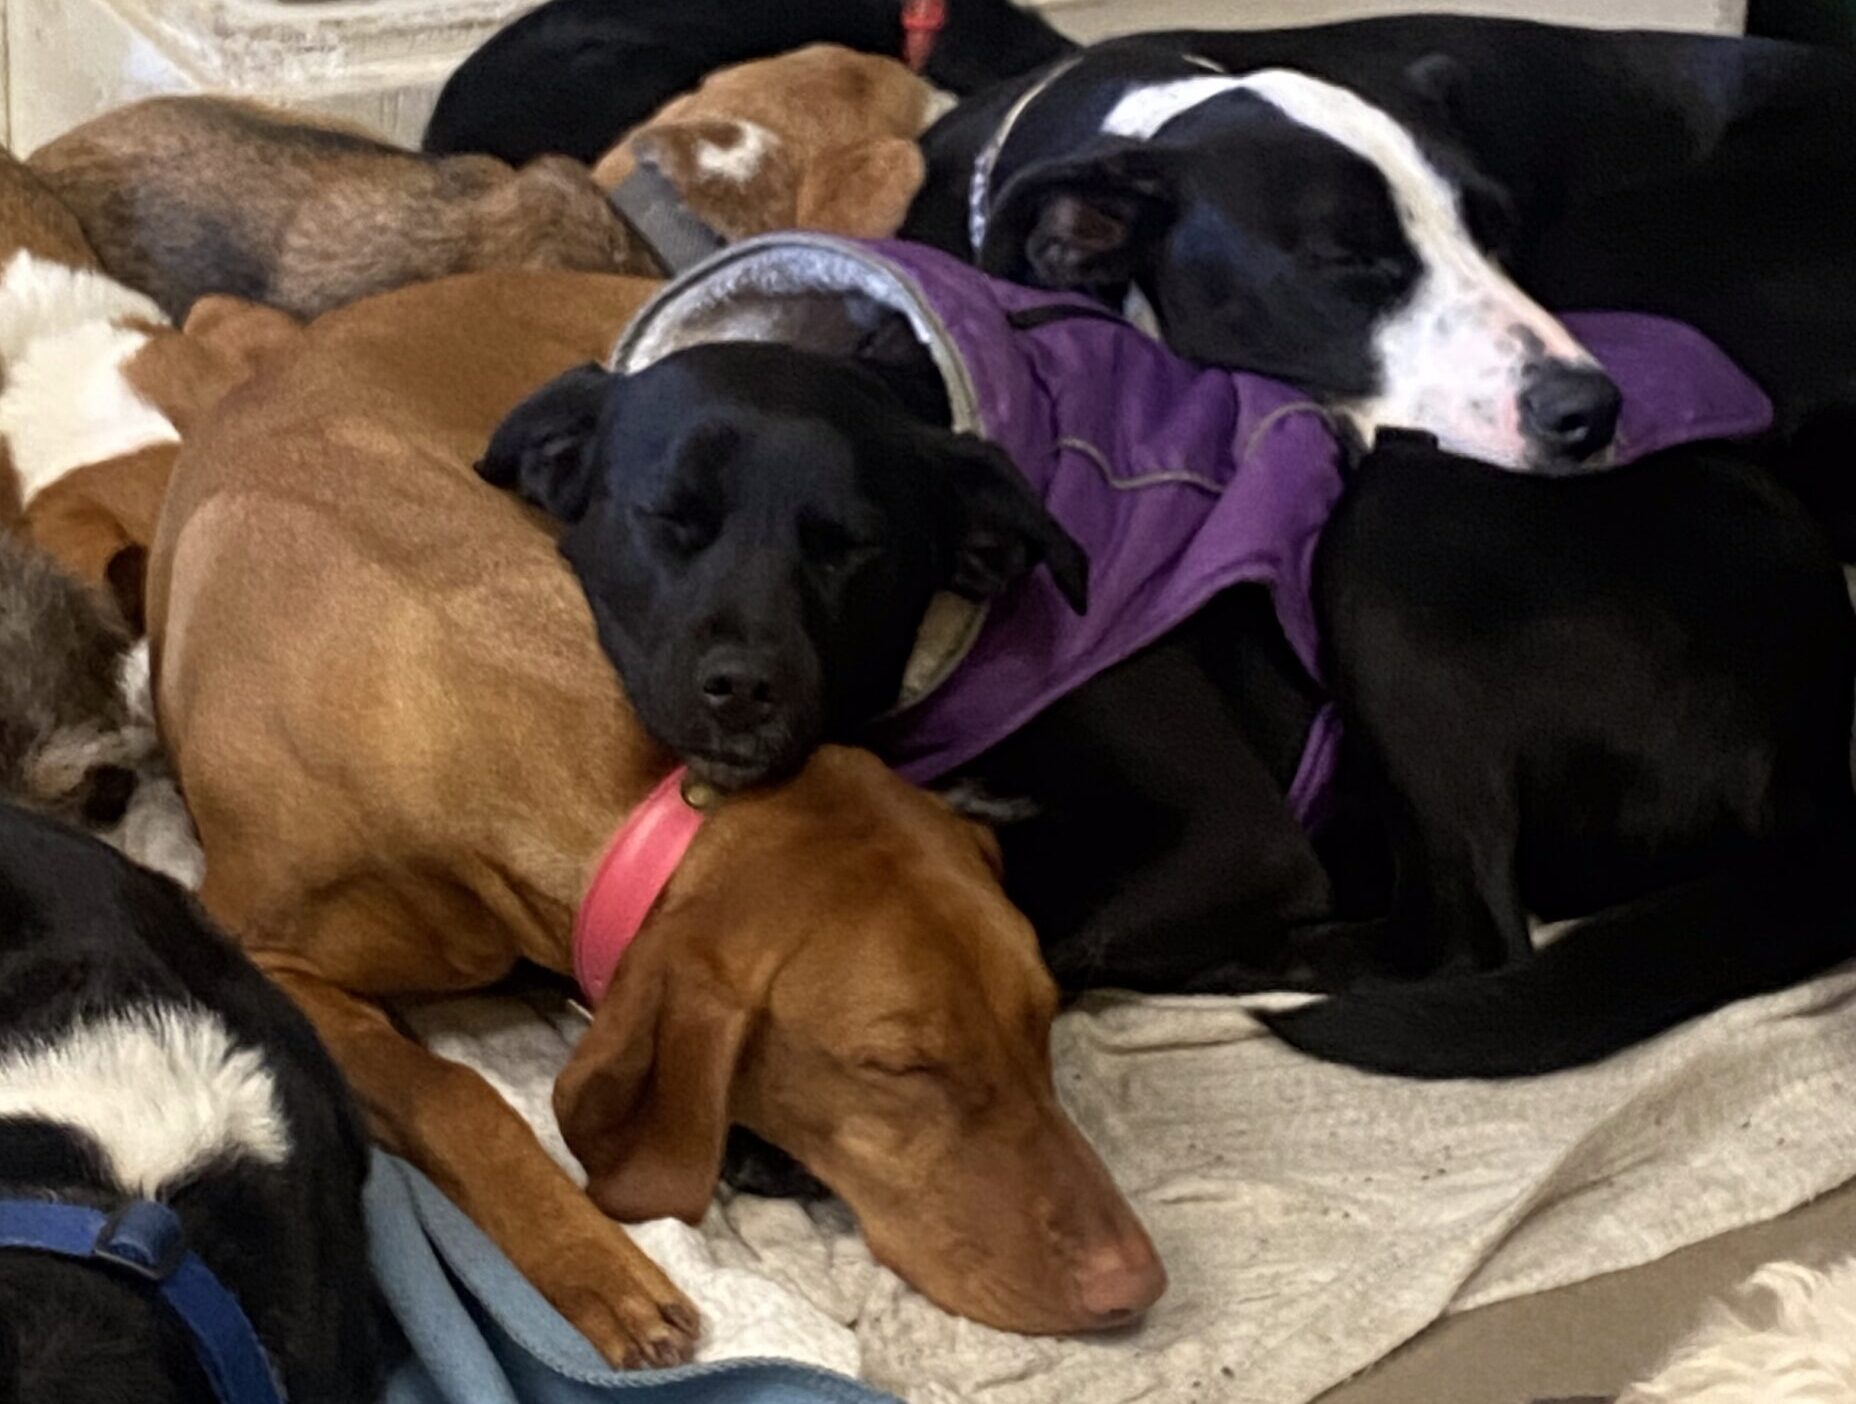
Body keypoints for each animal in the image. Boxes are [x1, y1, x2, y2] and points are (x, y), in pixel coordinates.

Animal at [146, 268, 1163, 1365]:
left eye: (1042, 1015)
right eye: (898, 1065)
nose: (1138, 1284)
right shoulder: (262, 960)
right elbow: (449, 1090)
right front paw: (593, 1265)